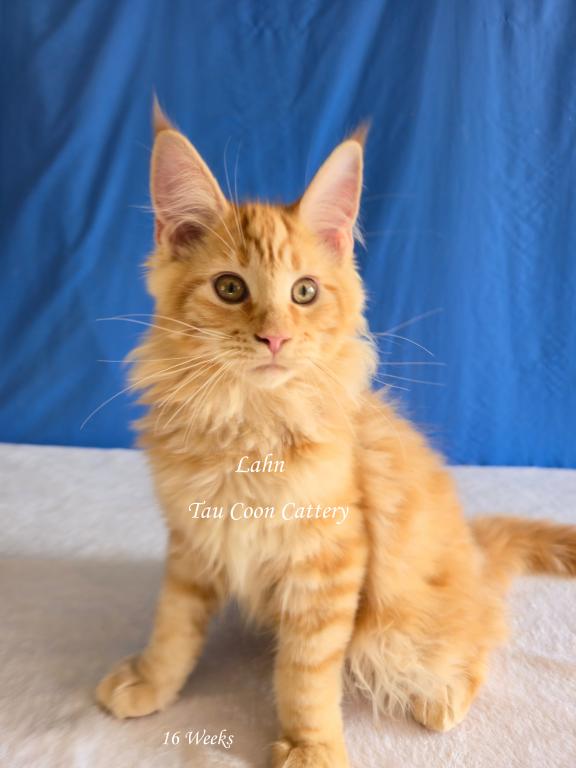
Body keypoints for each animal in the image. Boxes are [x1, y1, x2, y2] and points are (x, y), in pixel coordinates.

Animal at [96, 105, 576, 768]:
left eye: (304, 292)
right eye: (229, 288)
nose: (274, 337)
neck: (249, 426)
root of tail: (477, 552)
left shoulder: (331, 559)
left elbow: (305, 672)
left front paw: (312, 745)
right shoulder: (192, 539)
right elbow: (174, 625)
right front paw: (152, 680)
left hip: (400, 624)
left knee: (477, 635)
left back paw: (442, 699)